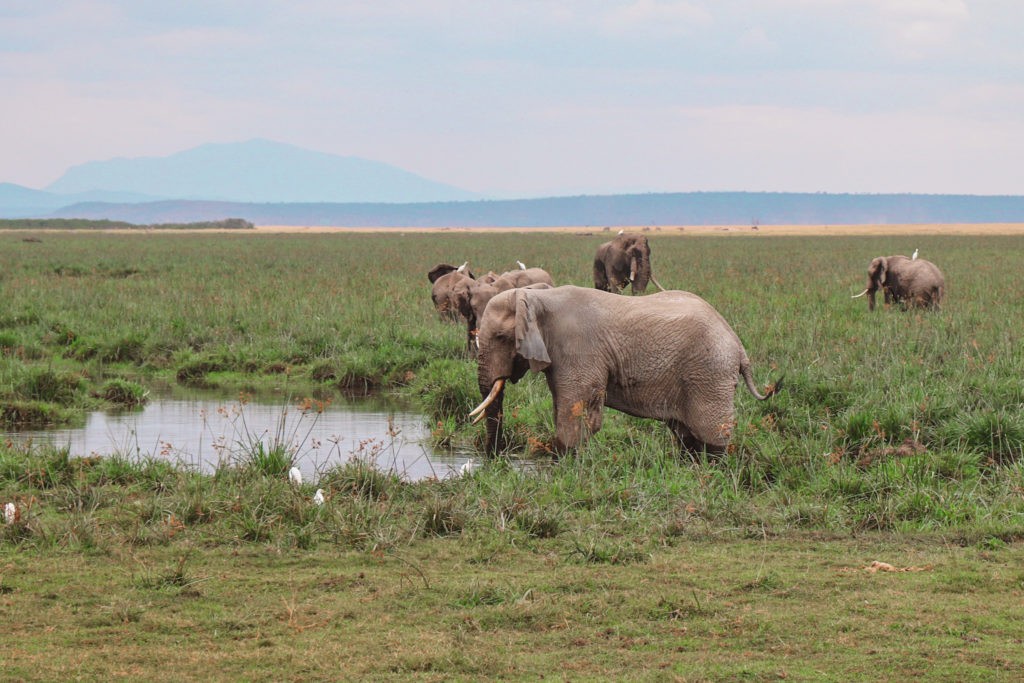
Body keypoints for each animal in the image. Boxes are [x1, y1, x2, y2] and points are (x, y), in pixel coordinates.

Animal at [468, 286, 778, 456]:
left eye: (500, 337)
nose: (495, 458)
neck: (538, 297)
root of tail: (739, 346)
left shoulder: (579, 349)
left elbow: (575, 414)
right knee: (687, 436)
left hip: (710, 372)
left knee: (710, 434)